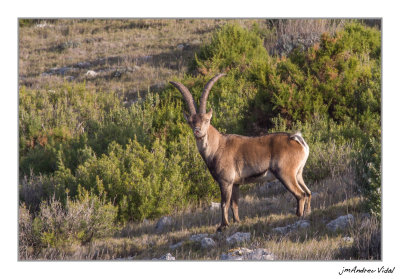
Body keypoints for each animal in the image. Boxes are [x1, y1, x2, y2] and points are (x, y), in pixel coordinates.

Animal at [170, 74, 310, 232]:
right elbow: (234, 204)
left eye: (206, 120)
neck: (218, 147)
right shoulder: (236, 183)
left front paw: (223, 226)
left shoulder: (225, 181)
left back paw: (298, 215)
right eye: (191, 122)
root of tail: (296, 139)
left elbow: (224, 203)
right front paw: (237, 221)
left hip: (285, 173)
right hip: (298, 173)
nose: (197, 131)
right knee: (307, 192)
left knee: (301, 194)